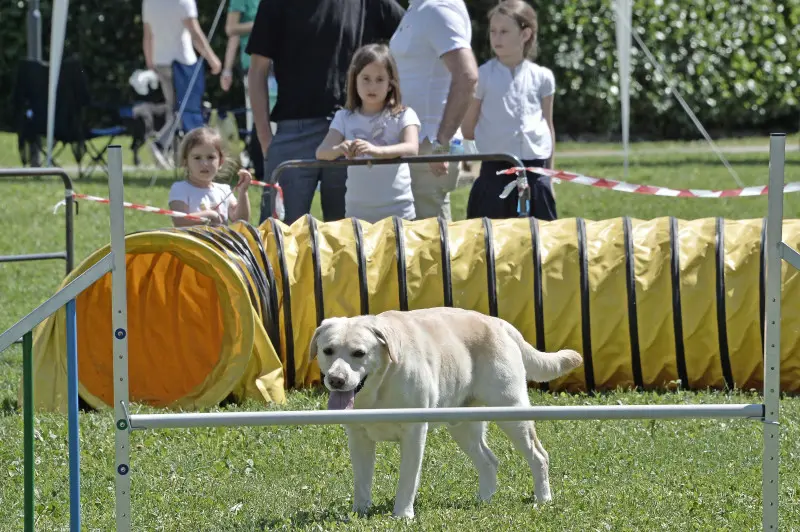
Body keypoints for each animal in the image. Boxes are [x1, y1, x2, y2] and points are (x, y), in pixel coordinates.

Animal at [310, 306, 580, 516]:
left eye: (359, 353)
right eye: (328, 350)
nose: (335, 380)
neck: (380, 384)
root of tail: (499, 323)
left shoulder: (414, 433)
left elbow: (408, 478)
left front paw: (403, 515)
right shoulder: (358, 437)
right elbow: (362, 480)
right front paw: (360, 512)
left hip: (512, 415)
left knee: (539, 456)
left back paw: (543, 500)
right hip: (463, 426)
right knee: (489, 461)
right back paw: (484, 501)